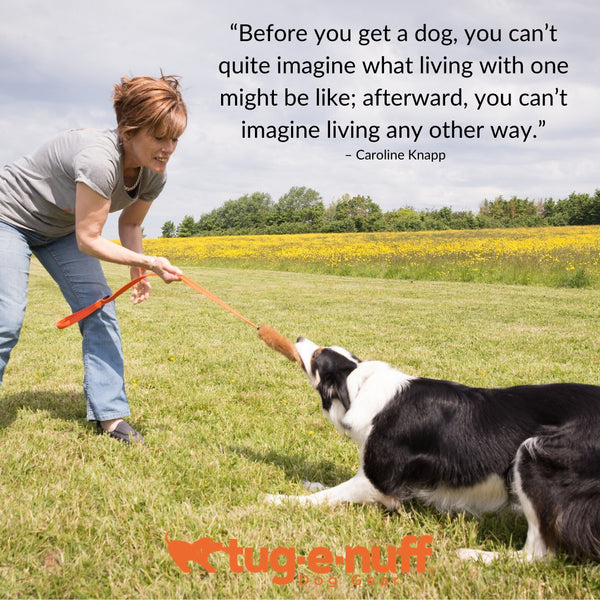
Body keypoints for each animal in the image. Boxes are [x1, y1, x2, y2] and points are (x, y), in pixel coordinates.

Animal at [268, 338, 600, 564]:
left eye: (319, 354)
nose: (298, 337)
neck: (358, 387)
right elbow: (328, 487)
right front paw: (309, 483)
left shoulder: (377, 480)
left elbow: (329, 495)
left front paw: (281, 499)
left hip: (533, 456)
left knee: (538, 553)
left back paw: (476, 555)